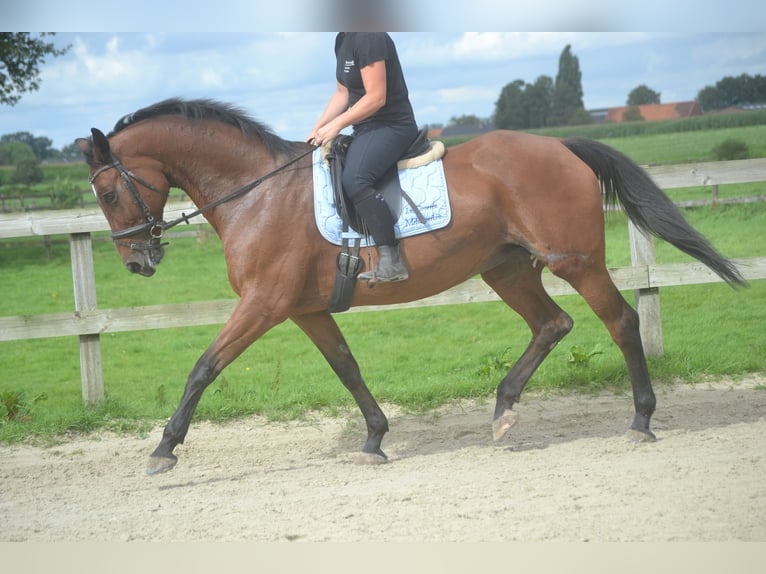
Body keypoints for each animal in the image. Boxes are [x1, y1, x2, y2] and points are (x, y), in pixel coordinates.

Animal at [76, 99, 744, 476]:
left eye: (107, 192)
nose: (137, 262)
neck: (256, 193)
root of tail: (559, 144)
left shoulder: (263, 305)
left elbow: (203, 368)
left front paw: (164, 449)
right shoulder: (305, 309)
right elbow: (347, 368)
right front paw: (374, 438)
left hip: (574, 261)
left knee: (621, 322)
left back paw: (641, 419)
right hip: (506, 268)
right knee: (553, 325)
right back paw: (503, 411)